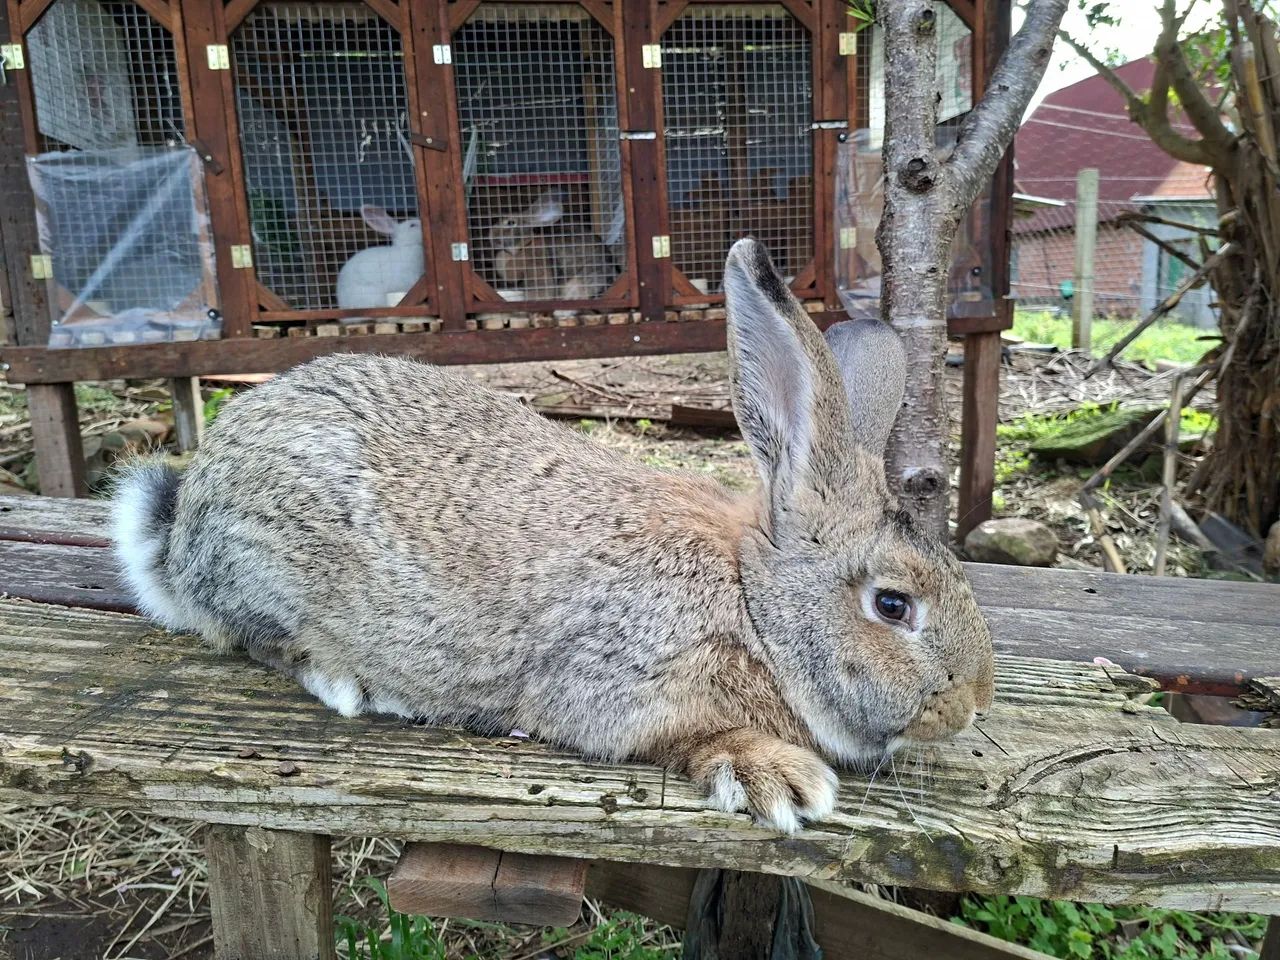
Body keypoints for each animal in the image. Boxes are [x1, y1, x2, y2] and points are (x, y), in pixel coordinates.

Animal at [112, 238, 994, 834]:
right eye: (891, 605)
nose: (973, 704)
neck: (753, 604)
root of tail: (183, 527)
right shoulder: (618, 681)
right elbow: (685, 734)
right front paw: (779, 778)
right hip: (269, 566)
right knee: (259, 640)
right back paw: (353, 684)